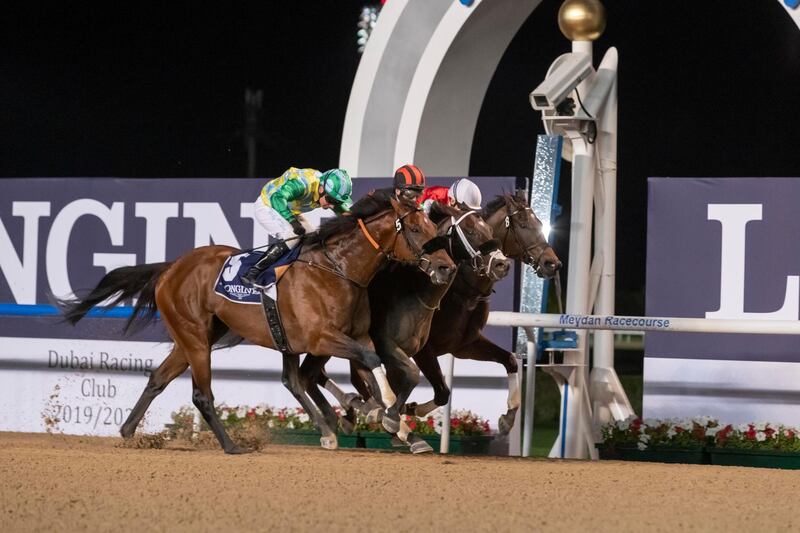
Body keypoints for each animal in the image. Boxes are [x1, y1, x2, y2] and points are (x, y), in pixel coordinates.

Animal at [58, 193, 454, 450]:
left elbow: (393, 370)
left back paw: (128, 431)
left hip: (197, 337)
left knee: (159, 379)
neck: (338, 269)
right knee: (203, 394)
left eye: (433, 228)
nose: (446, 267)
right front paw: (374, 412)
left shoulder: (354, 336)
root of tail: (171, 267)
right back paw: (233, 446)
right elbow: (369, 364)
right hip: (196, 337)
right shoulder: (320, 338)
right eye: (415, 230)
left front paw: (380, 414)